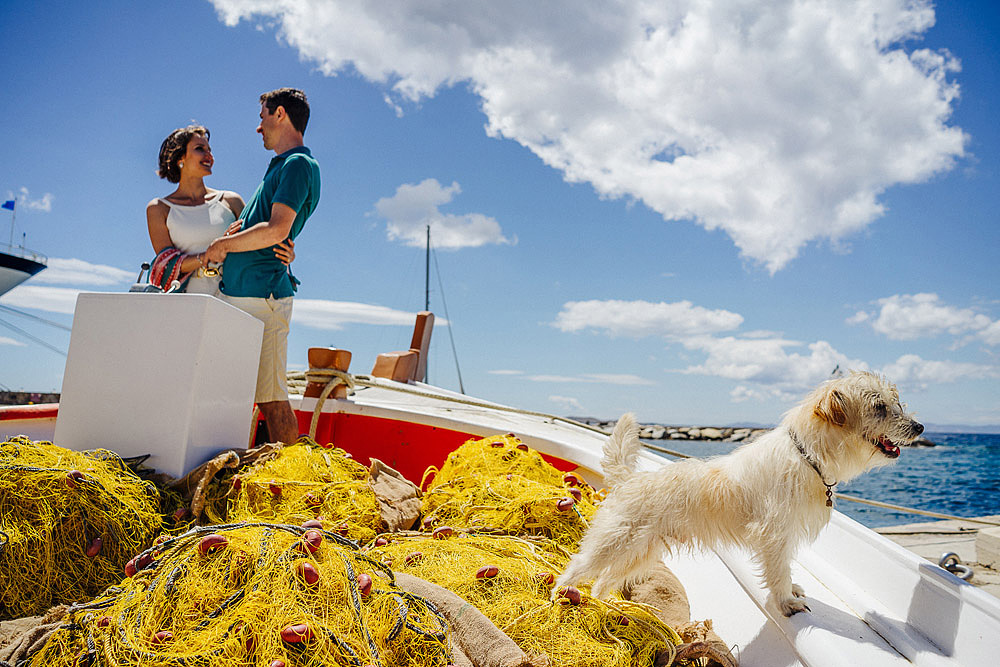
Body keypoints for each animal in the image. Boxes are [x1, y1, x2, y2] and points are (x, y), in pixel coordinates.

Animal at [556, 370, 920, 616]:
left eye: (896, 402)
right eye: (879, 407)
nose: (920, 428)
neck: (808, 457)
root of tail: (628, 480)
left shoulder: (784, 535)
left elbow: (786, 567)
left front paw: (791, 590)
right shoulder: (774, 535)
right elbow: (778, 571)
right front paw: (786, 602)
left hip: (640, 554)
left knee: (603, 582)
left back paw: (610, 608)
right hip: (612, 544)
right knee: (577, 567)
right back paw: (558, 597)